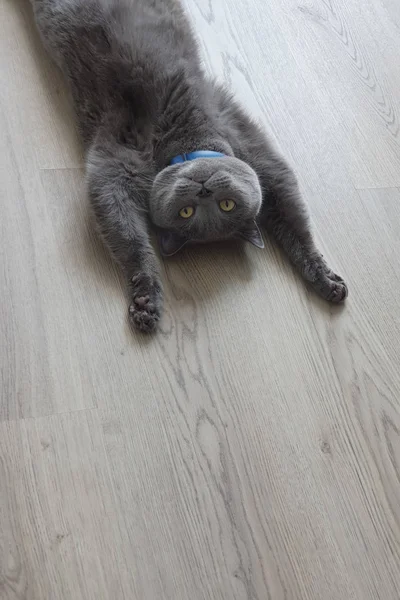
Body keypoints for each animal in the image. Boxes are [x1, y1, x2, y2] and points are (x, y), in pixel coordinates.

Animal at [29, 0, 346, 332]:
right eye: (187, 210)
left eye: (225, 205)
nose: (203, 189)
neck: (187, 137)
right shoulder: (238, 133)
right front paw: (146, 294)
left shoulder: (114, 161)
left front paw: (322, 276)